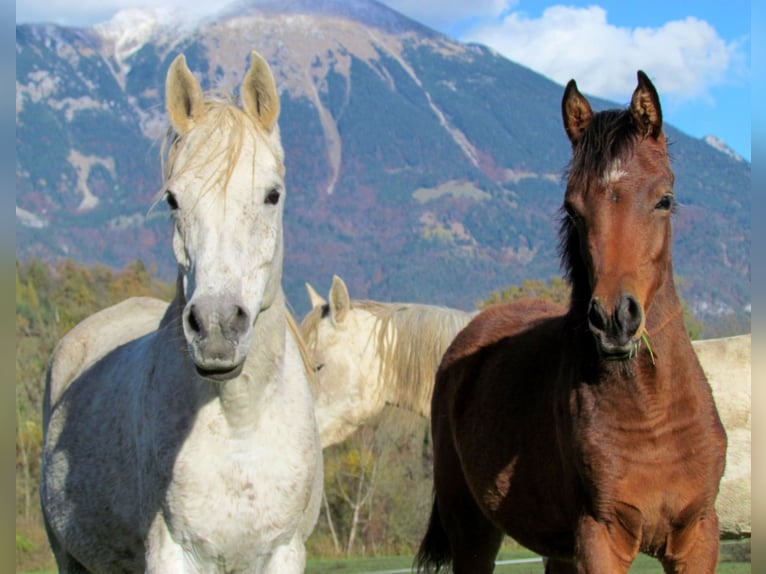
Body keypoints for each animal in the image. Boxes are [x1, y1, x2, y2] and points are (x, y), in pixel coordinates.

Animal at [40, 51, 322, 572]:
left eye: (272, 194)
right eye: (173, 198)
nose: (215, 326)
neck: (239, 425)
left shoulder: (284, 551)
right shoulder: (172, 550)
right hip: (67, 555)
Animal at [416, 73, 728, 574]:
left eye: (664, 200)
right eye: (573, 209)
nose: (615, 319)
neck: (653, 414)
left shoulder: (697, 537)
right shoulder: (600, 537)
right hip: (472, 531)